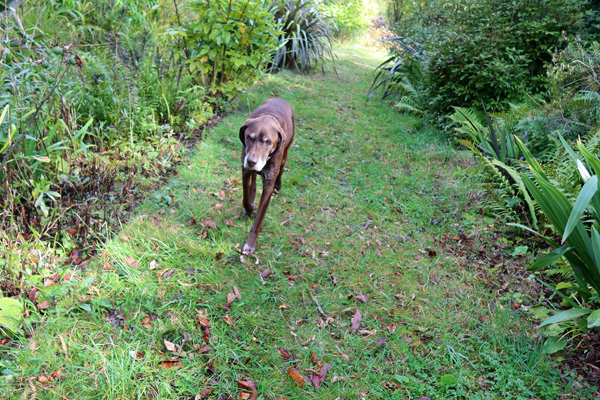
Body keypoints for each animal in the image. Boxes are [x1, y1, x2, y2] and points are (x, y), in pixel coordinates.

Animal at [239, 97, 296, 253]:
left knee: (282, 169)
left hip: (285, 154)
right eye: (249, 137)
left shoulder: (268, 186)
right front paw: (250, 209)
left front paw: (250, 243)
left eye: (268, 142)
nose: (251, 161)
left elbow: (259, 218)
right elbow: (245, 197)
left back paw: (278, 185)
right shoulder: (245, 171)